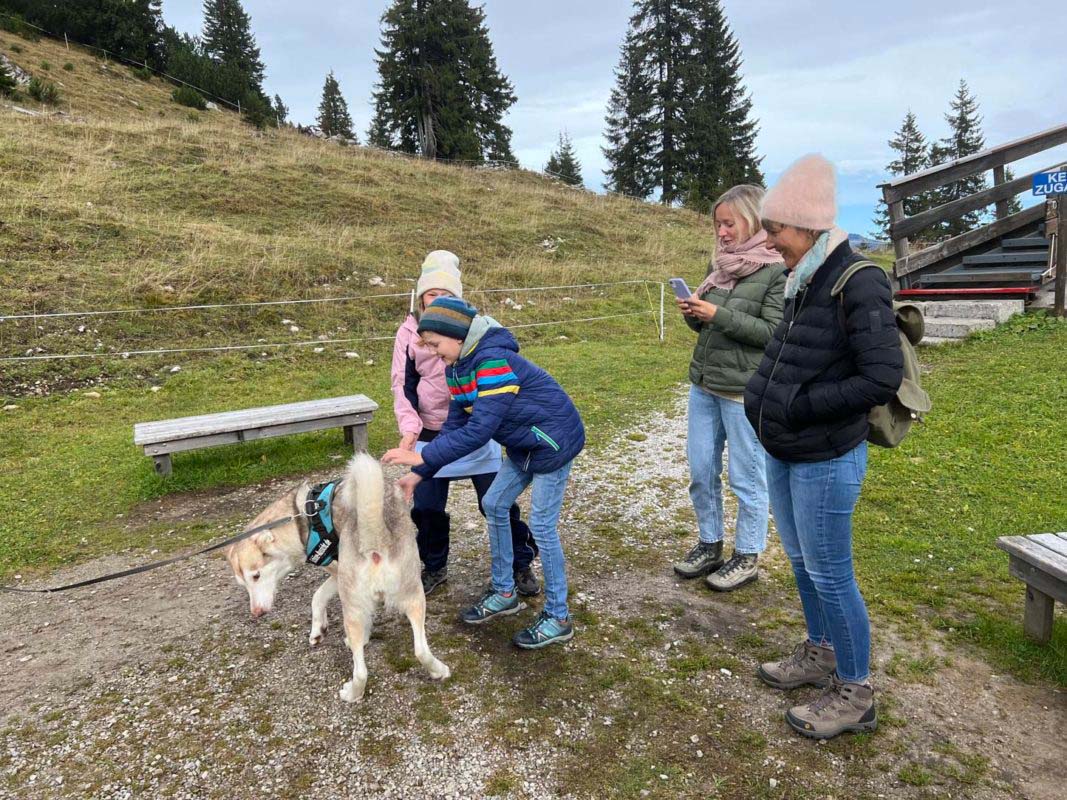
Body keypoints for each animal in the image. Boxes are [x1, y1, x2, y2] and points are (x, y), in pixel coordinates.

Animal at [229, 454, 450, 704]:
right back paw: (439, 670)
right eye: (243, 584)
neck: (300, 520)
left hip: (354, 608)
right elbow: (321, 599)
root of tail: (376, 541)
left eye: (256, 576)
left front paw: (323, 630)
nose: (256, 613)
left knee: (361, 671)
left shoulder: (336, 574)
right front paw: (321, 630)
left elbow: (318, 597)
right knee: (420, 650)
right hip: (414, 598)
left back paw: (353, 692)